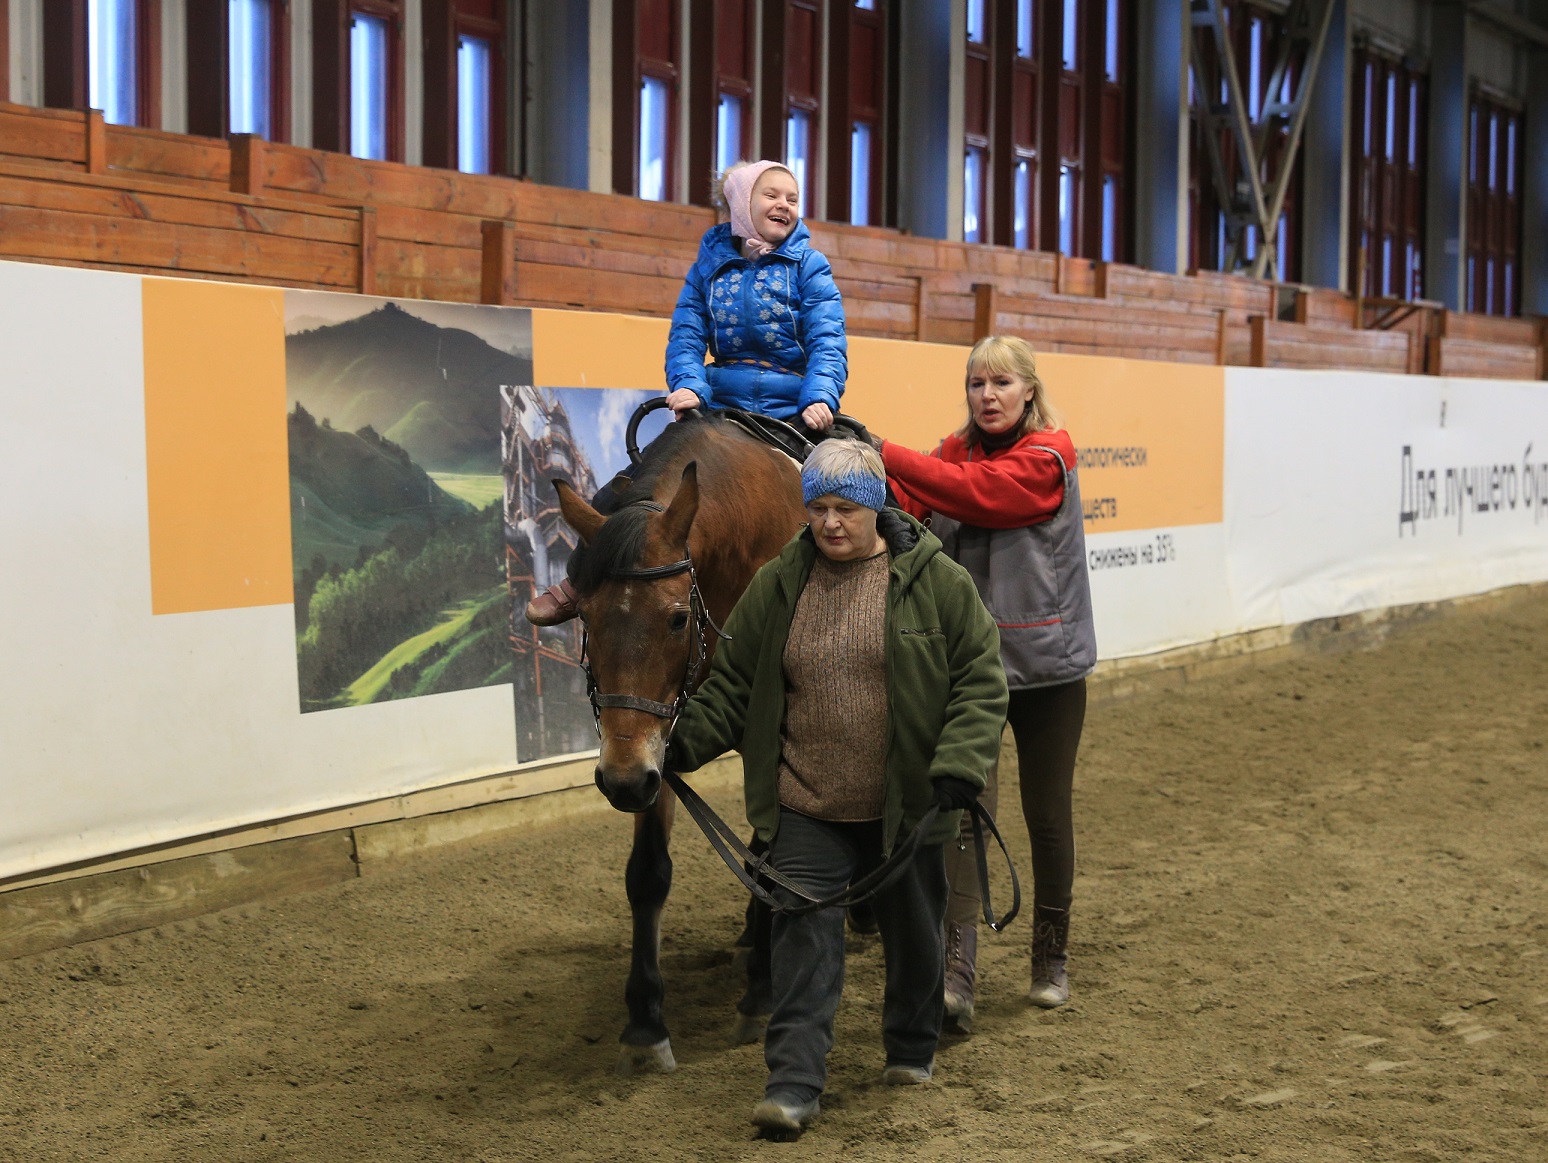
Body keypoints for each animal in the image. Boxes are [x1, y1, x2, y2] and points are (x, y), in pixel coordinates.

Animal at [551, 415, 804, 1077]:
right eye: (585, 615)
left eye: (674, 619)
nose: (619, 781)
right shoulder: (655, 737)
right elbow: (648, 873)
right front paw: (644, 1024)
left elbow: (767, 854)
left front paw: (761, 994)